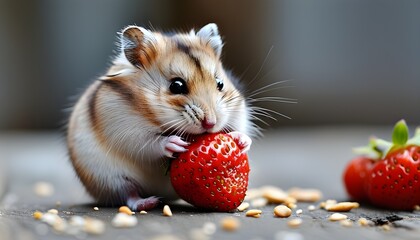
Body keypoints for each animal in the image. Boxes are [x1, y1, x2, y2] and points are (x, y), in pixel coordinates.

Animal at [66, 22, 253, 210]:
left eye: (220, 83)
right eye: (176, 86)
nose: (211, 123)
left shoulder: (239, 112)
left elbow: (241, 129)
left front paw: (240, 140)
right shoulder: (125, 131)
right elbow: (149, 142)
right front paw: (176, 144)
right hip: (109, 179)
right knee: (129, 195)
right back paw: (149, 202)